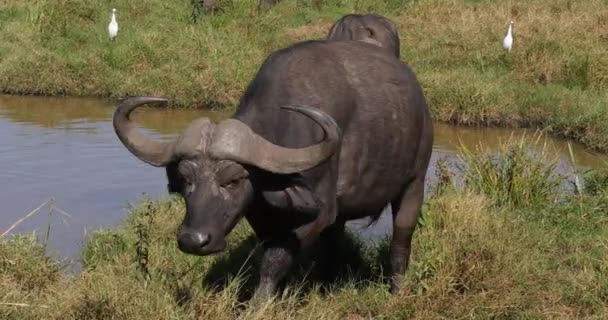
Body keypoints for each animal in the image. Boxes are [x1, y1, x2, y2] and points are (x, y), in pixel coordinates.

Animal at [113, 38, 432, 302]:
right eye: (185, 180)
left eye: (233, 180)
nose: (194, 240)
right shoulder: (266, 218)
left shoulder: (315, 216)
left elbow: (274, 262)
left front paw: (259, 304)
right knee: (334, 243)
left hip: (414, 182)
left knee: (401, 239)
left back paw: (397, 291)